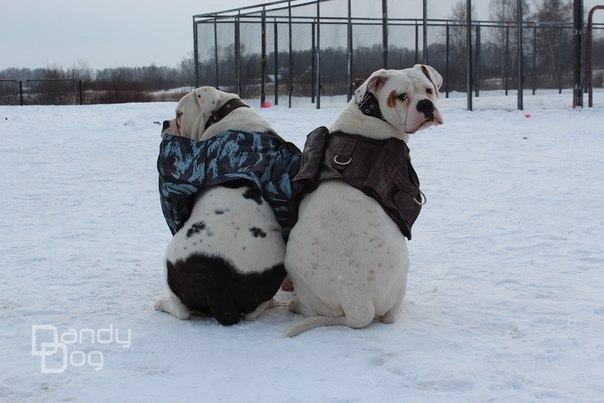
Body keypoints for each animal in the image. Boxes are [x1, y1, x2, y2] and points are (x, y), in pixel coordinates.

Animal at [155, 87, 290, 326]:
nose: (164, 123)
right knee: (255, 310)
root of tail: (217, 286)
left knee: (182, 310)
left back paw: (162, 303)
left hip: (170, 260)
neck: (223, 113)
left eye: (179, 114)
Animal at [284, 65, 444, 338]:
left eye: (428, 90)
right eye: (401, 96)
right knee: (388, 316)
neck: (372, 114)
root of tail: (356, 300)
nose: (425, 105)